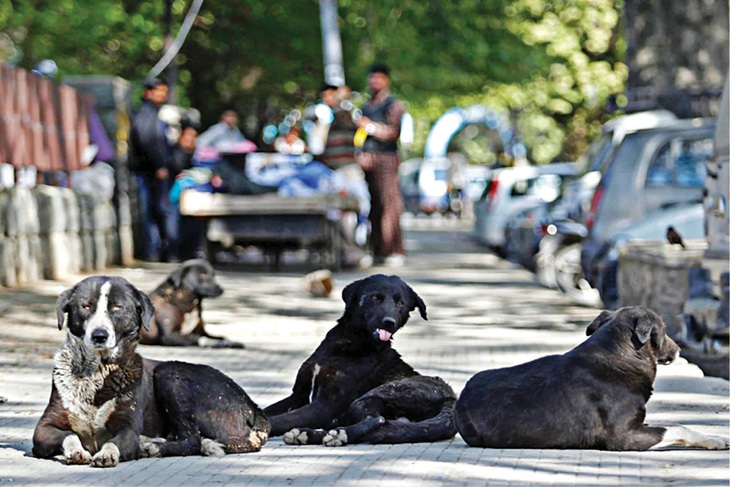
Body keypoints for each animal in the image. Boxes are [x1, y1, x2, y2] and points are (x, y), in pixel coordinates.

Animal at [32, 276, 268, 468]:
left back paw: (153, 446)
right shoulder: (42, 429)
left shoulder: (128, 428)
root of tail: (252, 405)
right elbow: (69, 435)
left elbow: (114, 441)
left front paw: (108, 453)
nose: (99, 335)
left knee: (192, 440)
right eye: (86, 306)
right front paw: (76, 450)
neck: (97, 372)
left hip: (169, 373)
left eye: (117, 307)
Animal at [262, 274, 456, 446]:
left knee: (377, 419)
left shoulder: (325, 405)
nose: (389, 322)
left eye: (400, 303)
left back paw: (337, 434)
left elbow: (280, 420)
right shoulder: (298, 396)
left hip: (376, 395)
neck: (350, 345)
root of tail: (451, 399)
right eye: (375, 297)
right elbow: (265, 411)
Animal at [456, 306, 728, 452]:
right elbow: (679, 427)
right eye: (663, 330)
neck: (619, 356)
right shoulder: (623, 437)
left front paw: (715, 439)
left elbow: (674, 426)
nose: (680, 349)